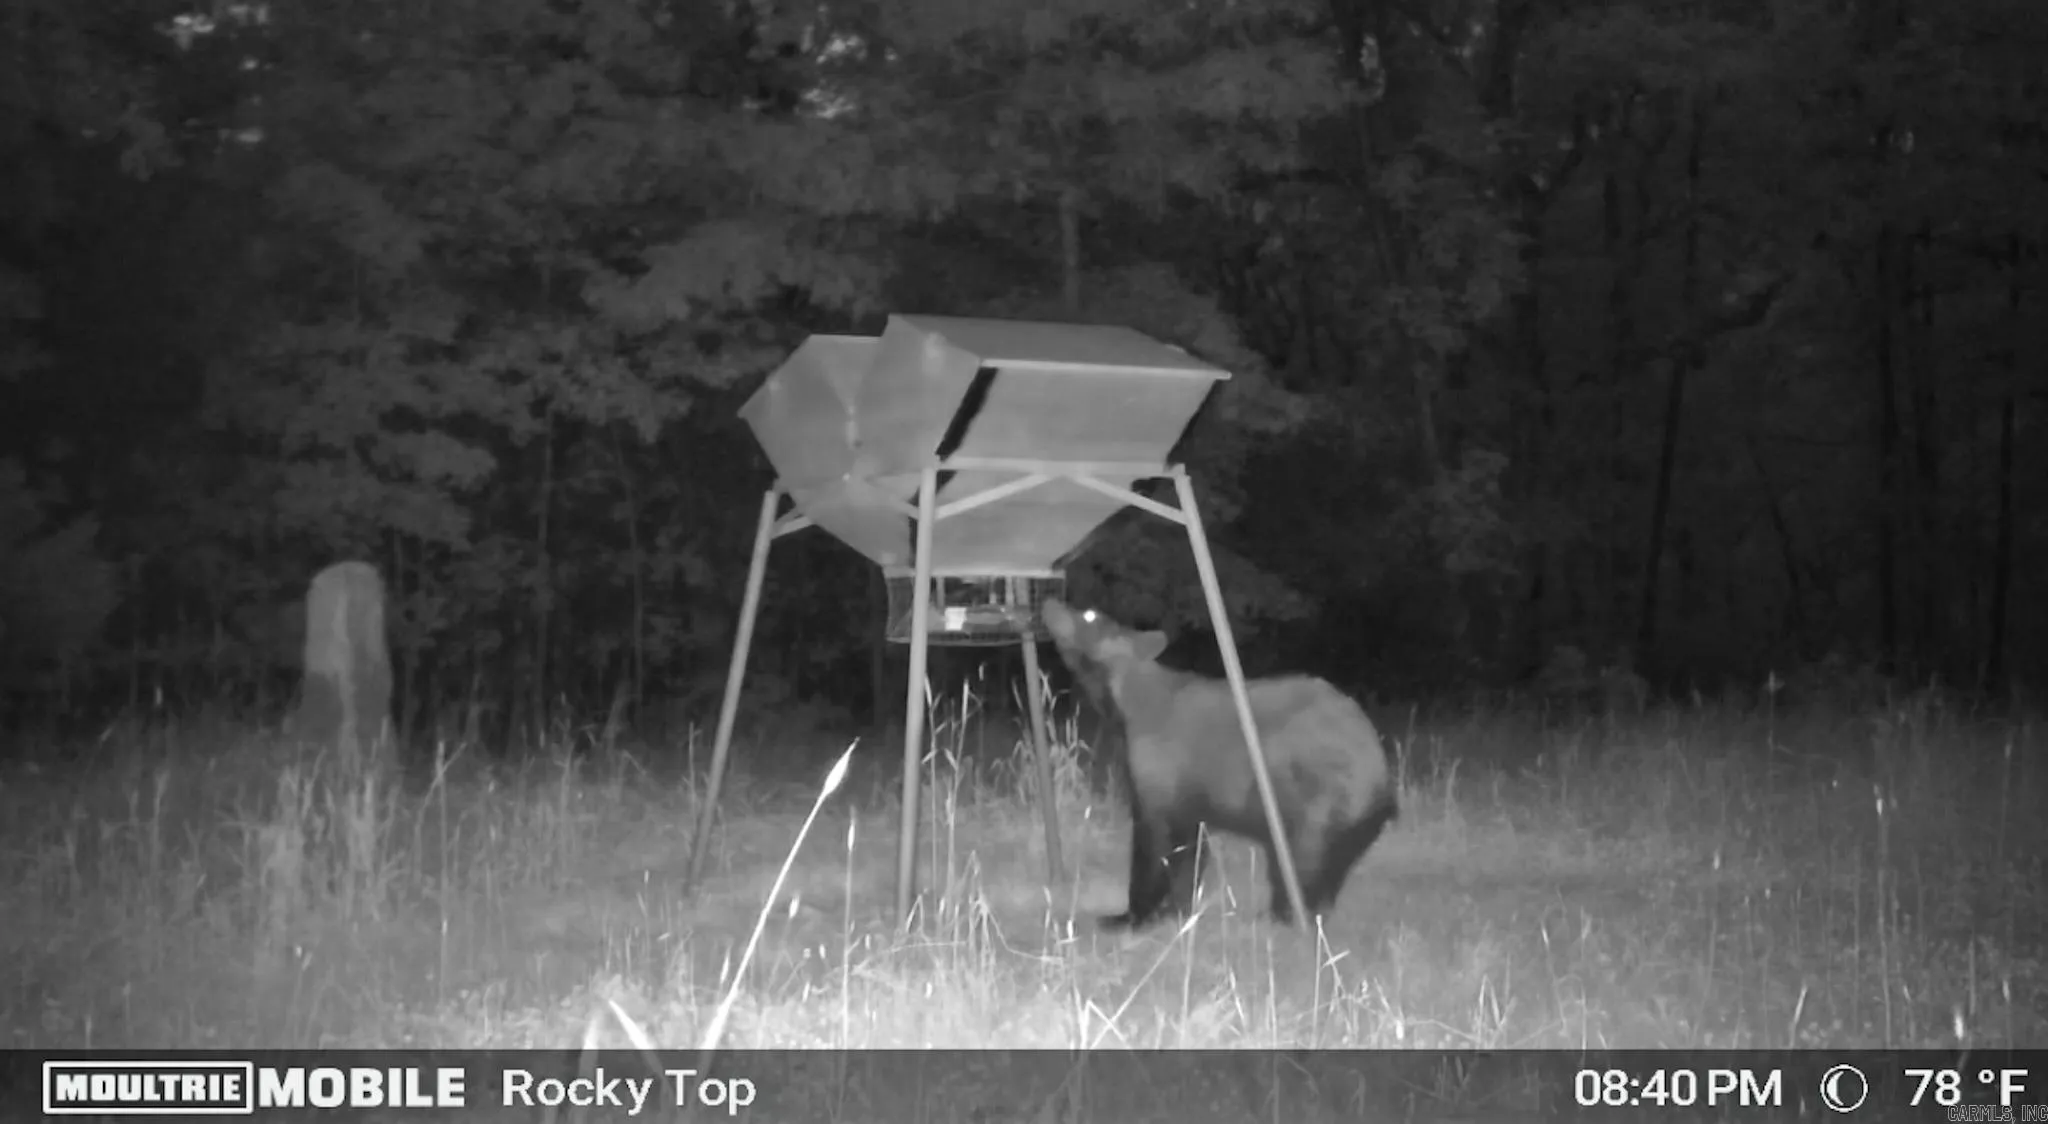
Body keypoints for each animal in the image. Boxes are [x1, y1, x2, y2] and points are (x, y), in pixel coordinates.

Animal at [1040, 598, 1397, 930]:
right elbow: (1191, 850)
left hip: (1321, 798)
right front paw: (1177, 910)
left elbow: (1154, 843)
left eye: (1089, 615)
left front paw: (1128, 915)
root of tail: (1382, 776)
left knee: (1300, 861)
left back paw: (1283, 915)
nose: (1050, 601)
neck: (1125, 701)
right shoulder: (1190, 797)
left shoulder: (1159, 768)